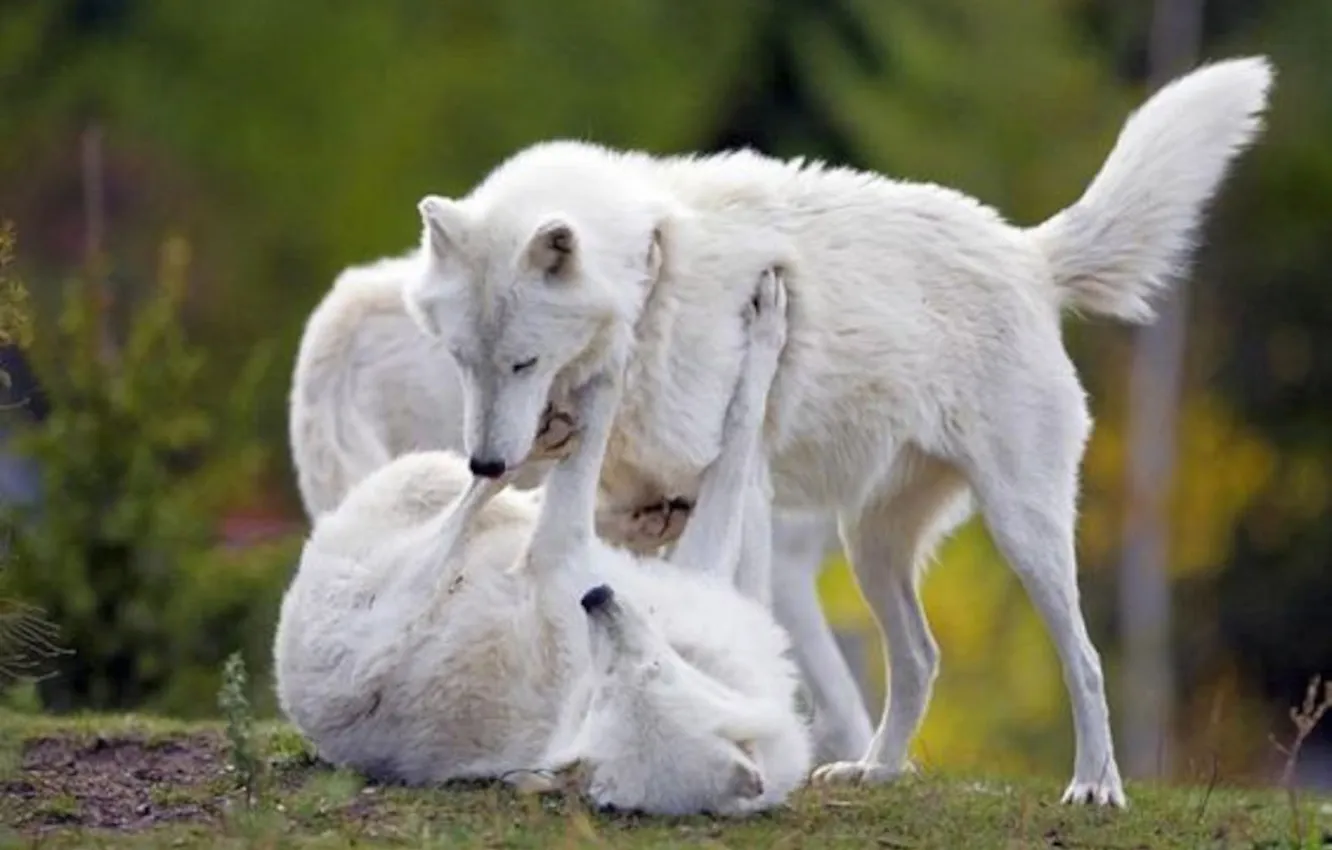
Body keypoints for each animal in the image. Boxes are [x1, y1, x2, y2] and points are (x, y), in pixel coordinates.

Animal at [400, 58, 1275, 807]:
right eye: (464, 360)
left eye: (523, 362)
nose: (486, 463)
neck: (655, 270)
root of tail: (1027, 251)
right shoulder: (634, 511)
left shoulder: (737, 491)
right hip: (873, 548)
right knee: (920, 659)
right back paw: (875, 772)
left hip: (1023, 533)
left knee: (1085, 662)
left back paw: (1095, 784)